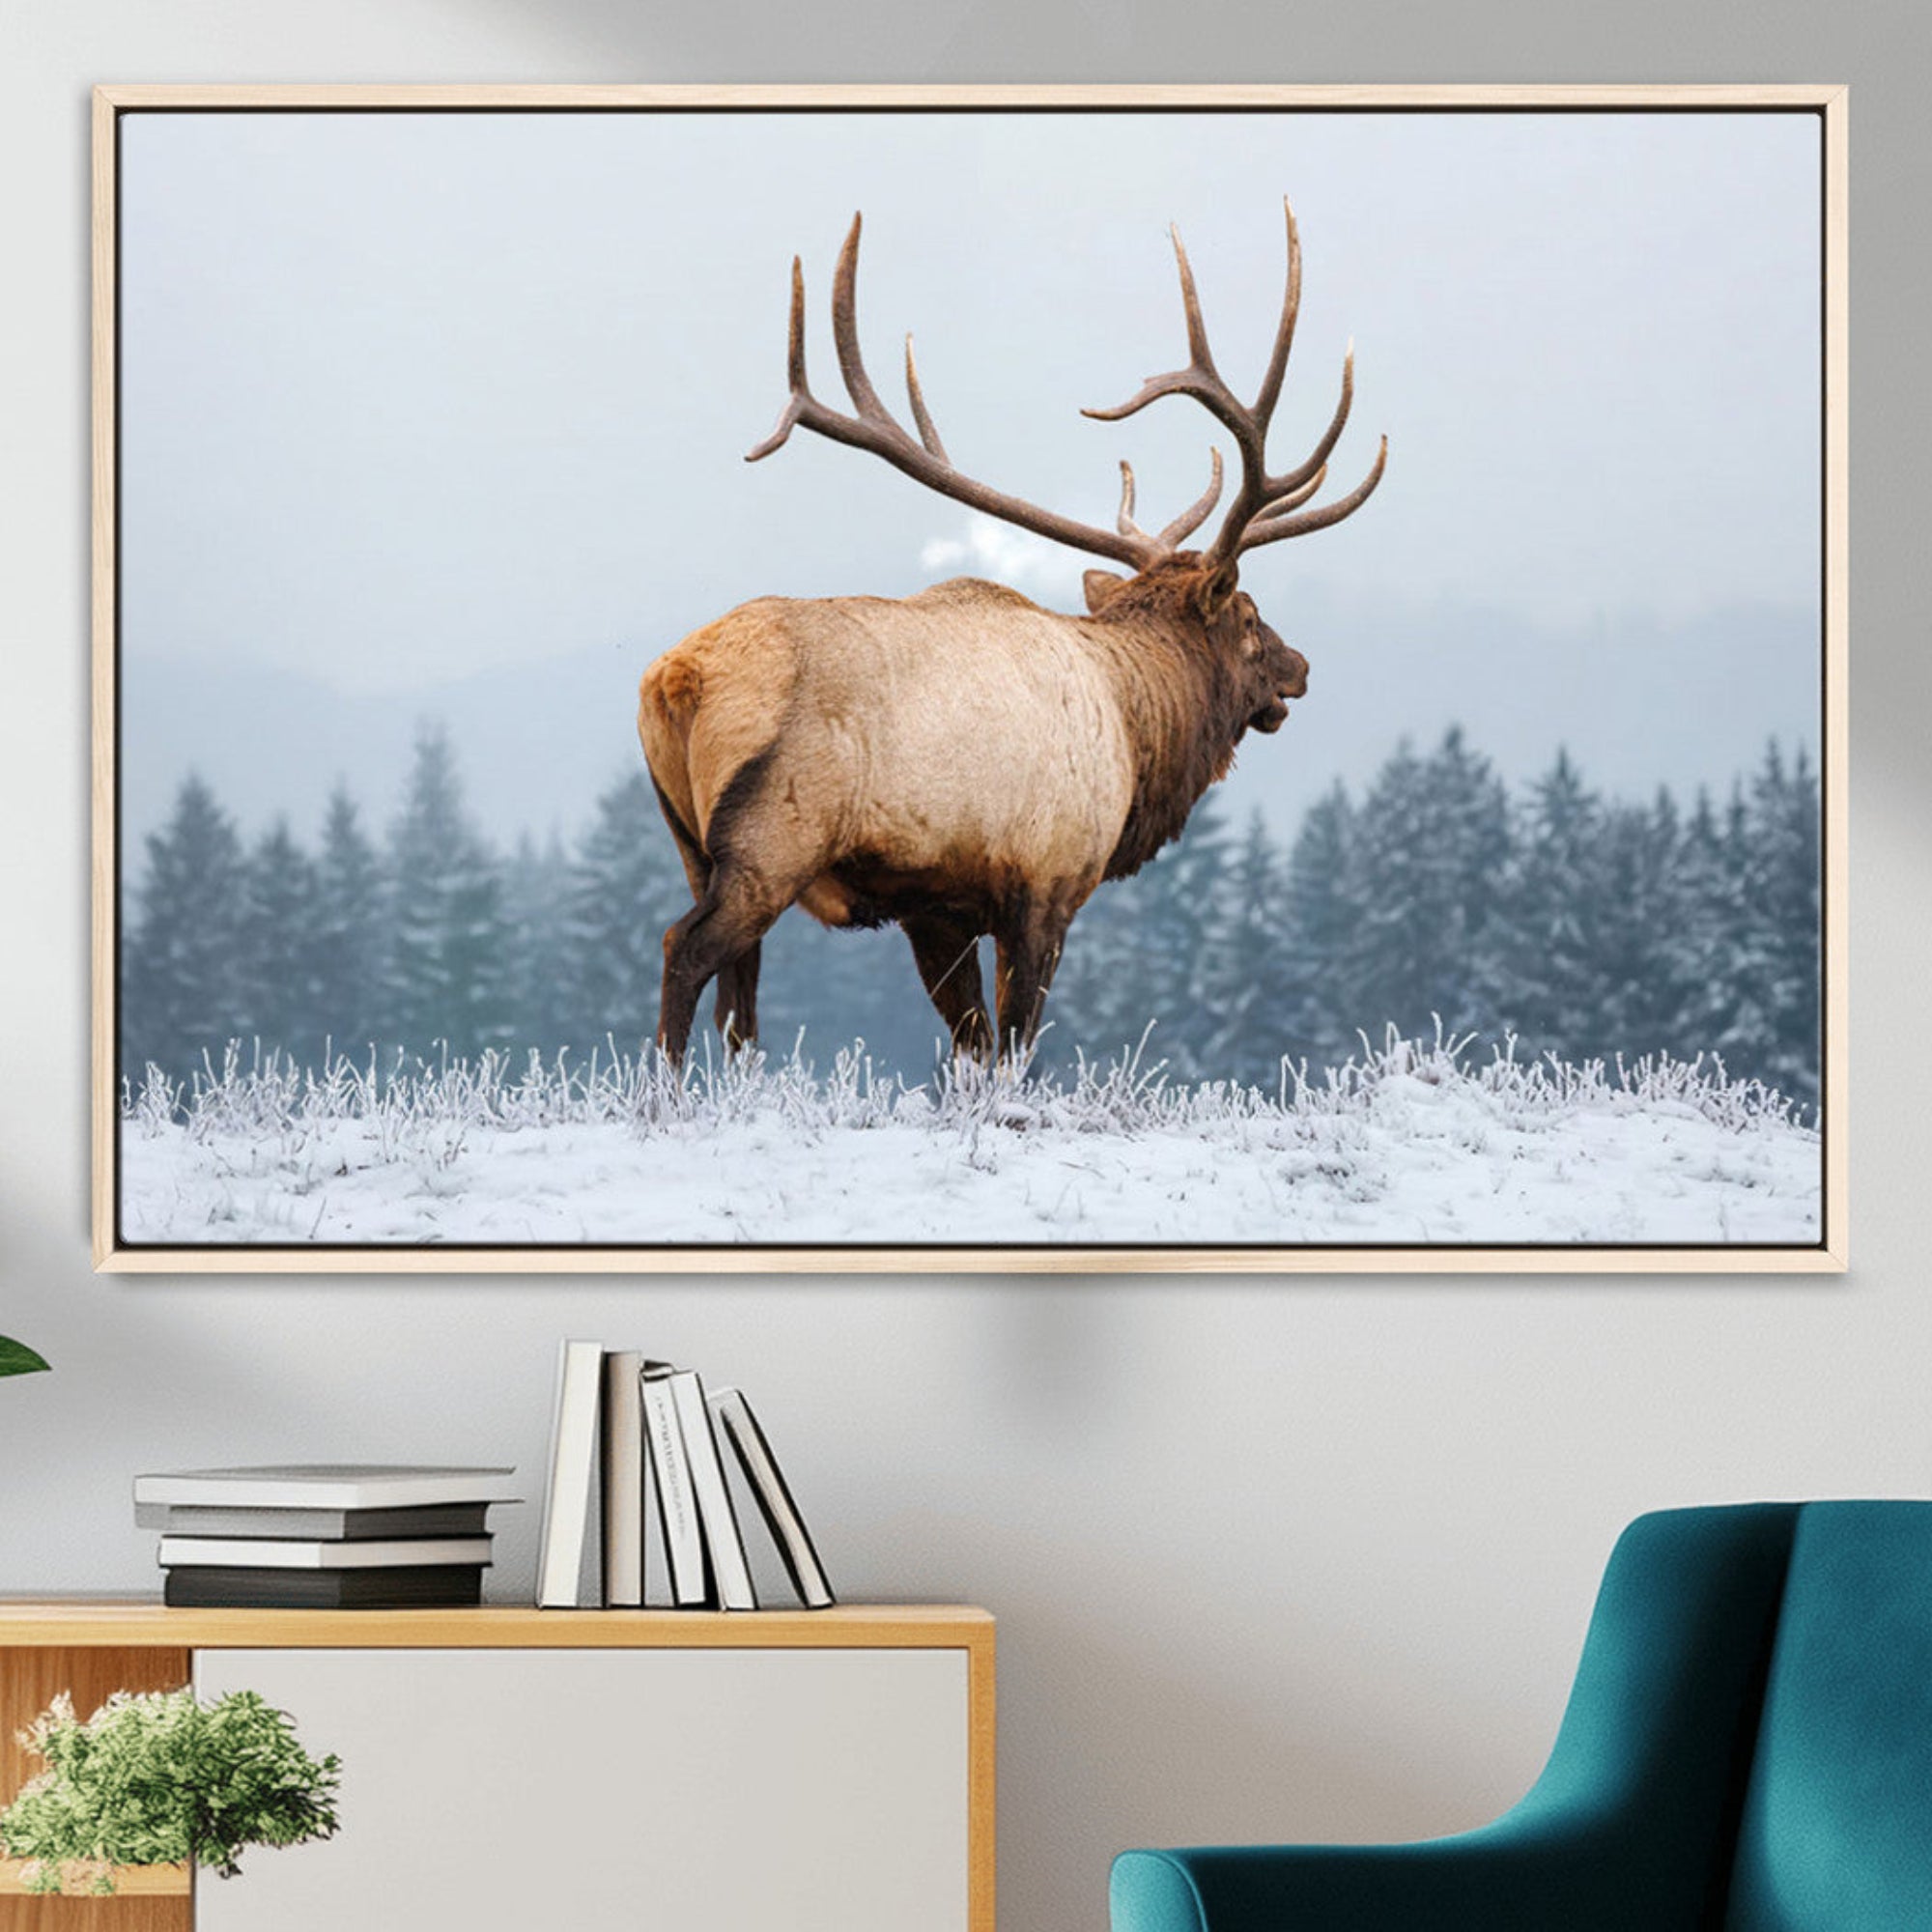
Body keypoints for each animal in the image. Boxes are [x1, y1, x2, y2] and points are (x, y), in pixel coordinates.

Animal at [639, 199, 1386, 1066]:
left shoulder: (937, 908)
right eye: (1249, 616)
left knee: (740, 999)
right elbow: (1017, 1046)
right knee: (685, 949)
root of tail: (676, 679)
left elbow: (971, 1043)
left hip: (688, 842)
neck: (1136, 733)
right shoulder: (1047, 883)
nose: (1301, 667)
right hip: (772, 839)